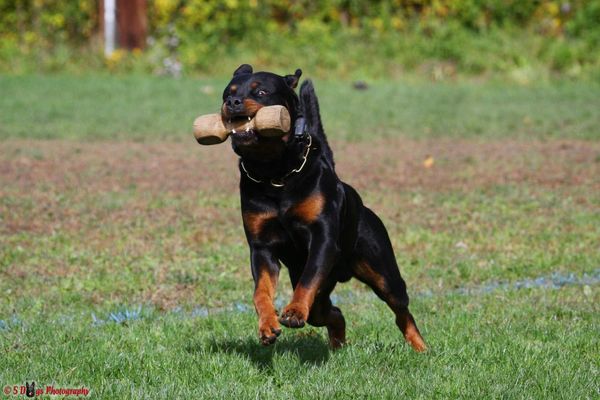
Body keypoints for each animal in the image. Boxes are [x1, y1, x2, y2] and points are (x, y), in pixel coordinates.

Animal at [221, 64, 426, 352]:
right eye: (227, 93)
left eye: (261, 92)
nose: (232, 103)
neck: (274, 172)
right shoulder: (261, 246)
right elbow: (261, 290)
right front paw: (267, 325)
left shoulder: (322, 237)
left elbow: (308, 279)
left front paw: (294, 311)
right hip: (323, 288)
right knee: (331, 312)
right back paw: (337, 342)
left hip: (382, 270)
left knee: (400, 308)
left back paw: (420, 347)